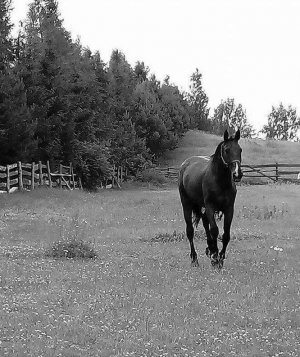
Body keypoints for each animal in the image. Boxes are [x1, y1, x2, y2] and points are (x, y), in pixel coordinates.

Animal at [178, 129, 244, 268]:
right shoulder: (210, 206)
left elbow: (226, 234)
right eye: (227, 150)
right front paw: (215, 257)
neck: (220, 181)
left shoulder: (229, 209)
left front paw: (220, 258)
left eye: (240, 150)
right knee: (190, 231)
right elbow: (214, 230)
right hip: (187, 204)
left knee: (205, 224)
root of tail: (185, 164)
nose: (237, 174)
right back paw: (195, 259)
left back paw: (209, 249)